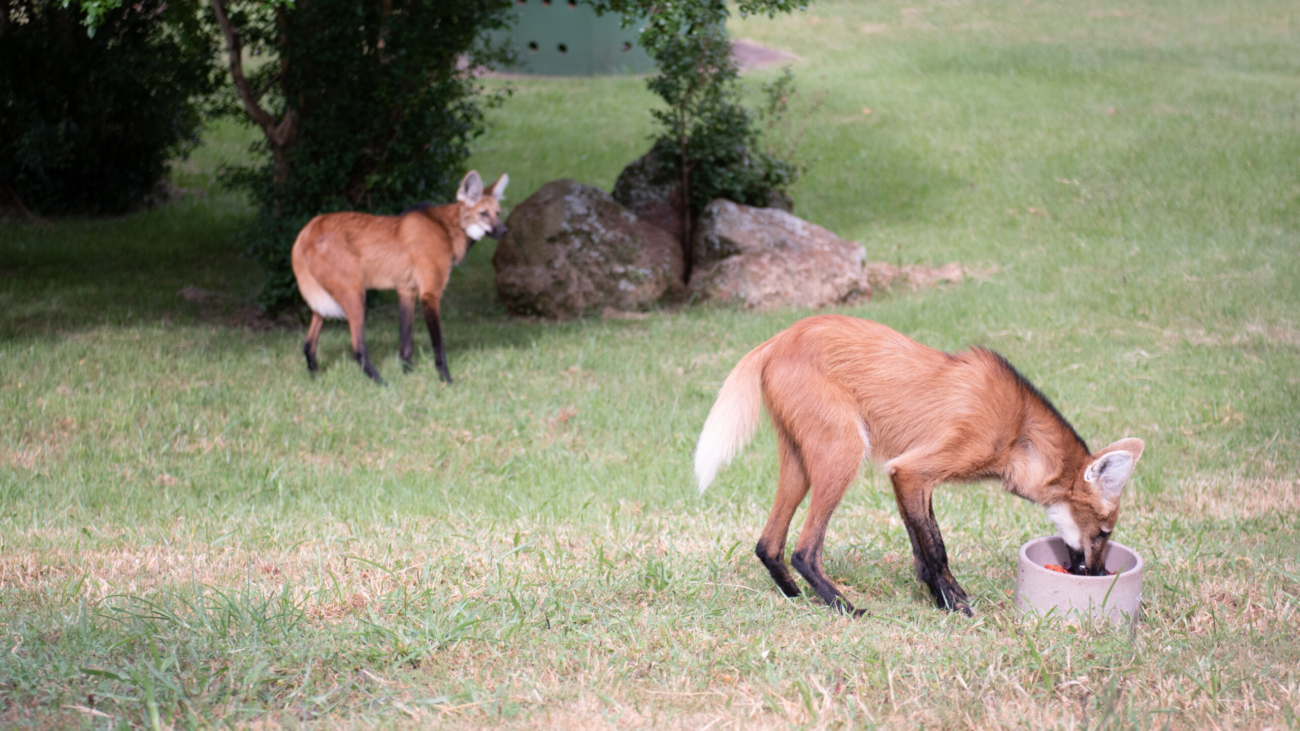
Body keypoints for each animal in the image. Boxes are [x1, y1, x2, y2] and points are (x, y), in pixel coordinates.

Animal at [289, 170, 506, 385]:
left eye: (498, 213)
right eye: (483, 214)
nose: (504, 231)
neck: (445, 229)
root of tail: (307, 229)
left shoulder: (406, 291)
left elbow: (406, 344)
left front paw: (408, 376)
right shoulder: (429, 294)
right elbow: (438, 345)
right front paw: (445, 379)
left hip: (324, 301)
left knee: (308, 344)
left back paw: (315, 379)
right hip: (355, 295)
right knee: (357, 349)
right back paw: (381, 383)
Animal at [696, 316, 1144, 616]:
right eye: (1103, 533)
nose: (1097, 575)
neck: (1019, 431)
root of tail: (777, 339)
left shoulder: (913, 477)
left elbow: (925, 544)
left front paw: (942, 598)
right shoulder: (911, 471)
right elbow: (935, 547)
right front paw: (955, 606)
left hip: (801, 462)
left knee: (768, 544)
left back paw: (795, 597)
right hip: (843, 453)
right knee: (804, 550)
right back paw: (845, 608)